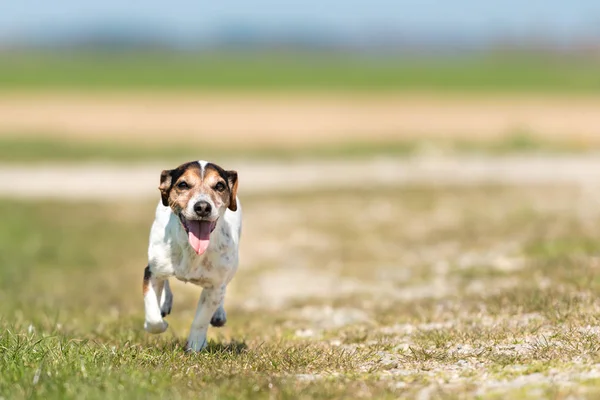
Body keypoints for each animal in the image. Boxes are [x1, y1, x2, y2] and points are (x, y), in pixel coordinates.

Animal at [143, 161, 241, 352]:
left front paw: (195, 346)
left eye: (219, 186)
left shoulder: (215, 286)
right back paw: (164, 302)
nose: (202, 207)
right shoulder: (151, 272)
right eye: (183, 184)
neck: (192, 250)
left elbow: (201, 319)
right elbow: (153, 317)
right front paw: (160, 322)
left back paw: (219, 314)